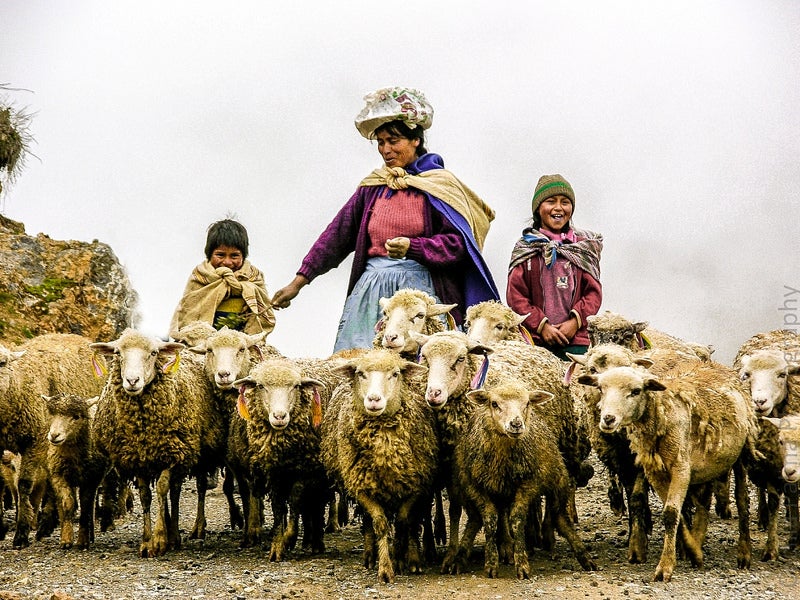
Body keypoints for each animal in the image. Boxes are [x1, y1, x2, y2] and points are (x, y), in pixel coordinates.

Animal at [580, 360, 760, 580]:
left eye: (636, 391)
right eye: (600, 389)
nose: (608, 419)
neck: (663, 411)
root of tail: (717, 366)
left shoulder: (681, 468)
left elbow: (671, 513)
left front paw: (664, 567)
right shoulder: (656, 472)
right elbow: (676, 513)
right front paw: (694, 553)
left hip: (742, 455)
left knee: (743, 501)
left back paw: (744, 554)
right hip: (709, 465)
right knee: (703, 503)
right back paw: (698, 541)